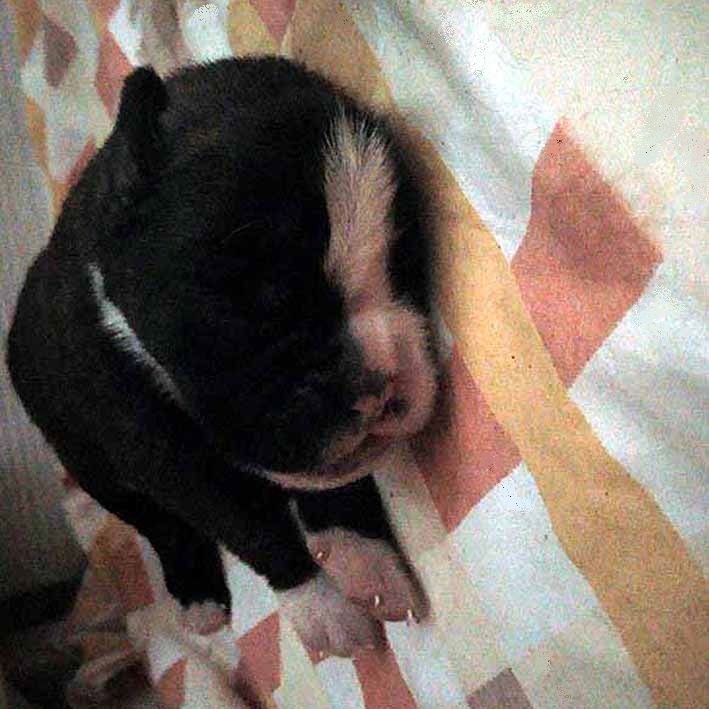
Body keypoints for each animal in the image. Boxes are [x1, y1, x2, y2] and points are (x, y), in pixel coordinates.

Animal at [7, 57, 438, 657]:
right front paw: (319, 605)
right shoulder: (167, 456)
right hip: (89, 464)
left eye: (406, 271)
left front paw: (361, 554)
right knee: (160, 526)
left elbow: (332, 482)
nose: (378, 386)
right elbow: (249, 525)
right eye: (259, 304)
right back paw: (198, 596)